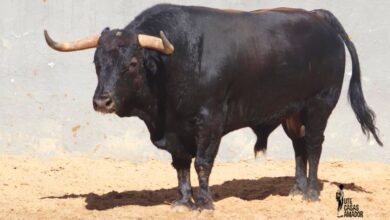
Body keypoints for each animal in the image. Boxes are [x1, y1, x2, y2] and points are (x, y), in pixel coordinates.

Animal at [45, 3, 380, 210]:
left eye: (133, 63)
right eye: (97, 62)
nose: (102, 101)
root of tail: (318, 17)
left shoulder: (210, 122)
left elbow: (202, 163)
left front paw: (204, 203)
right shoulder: (175, 132)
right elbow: (181, 166)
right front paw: (183, 202)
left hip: (319, 105)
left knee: (313, 145)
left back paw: (310, 192)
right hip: (292, 111)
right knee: (299, 146)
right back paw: (296, 190)